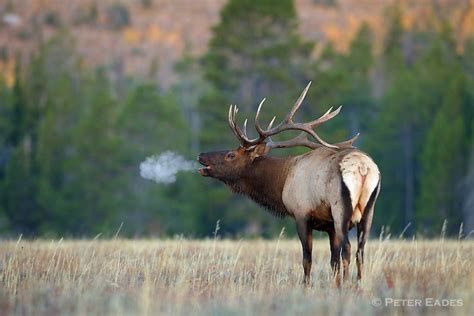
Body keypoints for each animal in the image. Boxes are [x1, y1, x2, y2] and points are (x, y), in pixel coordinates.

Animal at [198, 82, 380, 286]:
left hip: (340, 207)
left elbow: (307, 259)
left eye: (231, 155)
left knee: (348, 248)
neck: (282, 183)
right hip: (369, 210)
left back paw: (348, 285)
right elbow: (333, 261)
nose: (201, 155)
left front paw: (307, 286)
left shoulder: (302, 214)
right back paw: (358, 285)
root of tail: (363, 168)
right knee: (360, 251)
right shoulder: (329, 226)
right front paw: (334, 285)